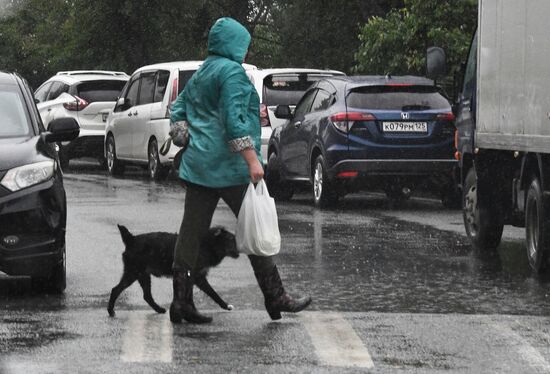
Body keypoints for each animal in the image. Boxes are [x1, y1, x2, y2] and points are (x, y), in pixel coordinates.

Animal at [108, 224, 239, 318]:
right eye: (231, 239)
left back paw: (159, 309)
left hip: (142, 275)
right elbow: (213, 293)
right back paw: (110, 311)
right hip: (133, 273)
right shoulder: (197, 278)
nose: (240, 251)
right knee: (115, 290)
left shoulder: (194, 278)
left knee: (147, 296)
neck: (207, 244)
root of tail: (132, 239)